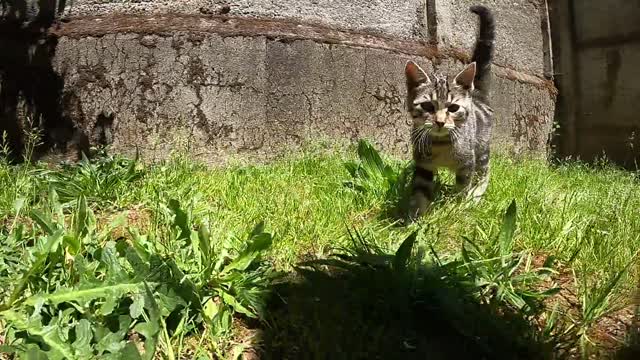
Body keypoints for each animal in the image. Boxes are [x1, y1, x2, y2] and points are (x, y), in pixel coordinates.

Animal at [404, 5, 496, 219]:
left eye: (453, 108)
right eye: (428, 106)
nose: (439, 122)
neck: (441, 144)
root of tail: (476, 94)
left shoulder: (467, 164)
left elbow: (462, 189)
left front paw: (457, 208)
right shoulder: (423, 165)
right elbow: (420, 191)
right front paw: (415, 218)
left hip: (481, 147)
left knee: (485, 171)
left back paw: (476, 195)